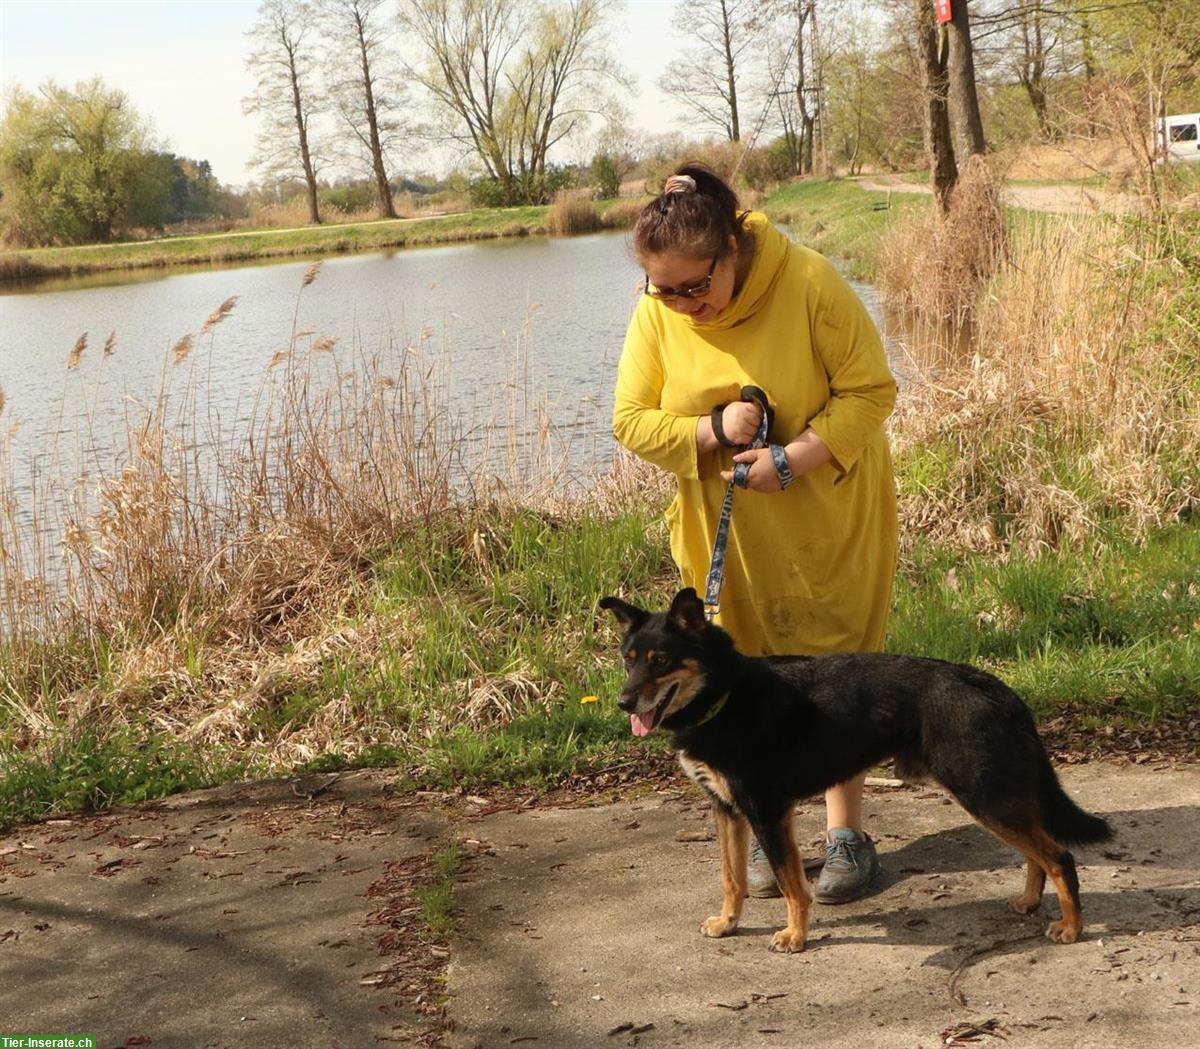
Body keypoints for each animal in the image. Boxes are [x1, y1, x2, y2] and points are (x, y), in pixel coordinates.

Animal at [600, 585, 1113, 950]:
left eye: (661, 661)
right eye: (627, 660)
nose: (622, 702)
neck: (724, 697)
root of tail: (997, 688)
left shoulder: (768, 813)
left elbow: (792, 885)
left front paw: (795, 936)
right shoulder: (727, 811)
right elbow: (733, 878)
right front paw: (728, 923)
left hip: (982, 793)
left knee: (1059, 856)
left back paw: (1071, 928)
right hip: (992, 796)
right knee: (1038, 854)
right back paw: (1029, 901)